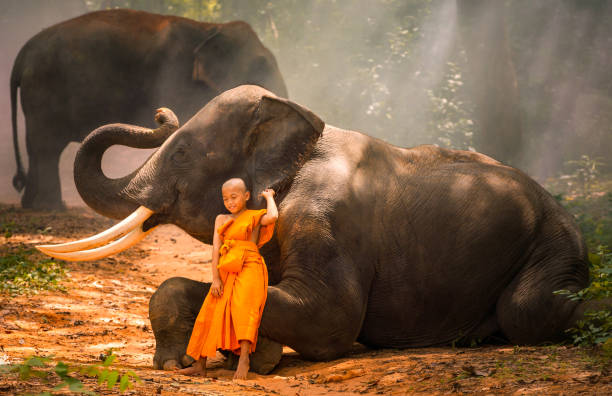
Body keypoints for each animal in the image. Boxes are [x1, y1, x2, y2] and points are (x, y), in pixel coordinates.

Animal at [9, 8, 286, 210]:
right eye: (261, 66)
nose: (159, 114)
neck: (208, 28)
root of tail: (23, 52)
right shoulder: (174, 74)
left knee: (37, 146)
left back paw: (33, 205)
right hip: (45, 86)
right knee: (47, 146)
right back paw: (51, 207)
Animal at [37, 84, 592, 374]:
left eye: (181, 154)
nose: (160, 113)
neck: (301, 126)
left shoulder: (326, 219)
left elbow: (331, 317)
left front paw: (198, 363)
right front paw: (241, 359)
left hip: (554, 248)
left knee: (528, 311)